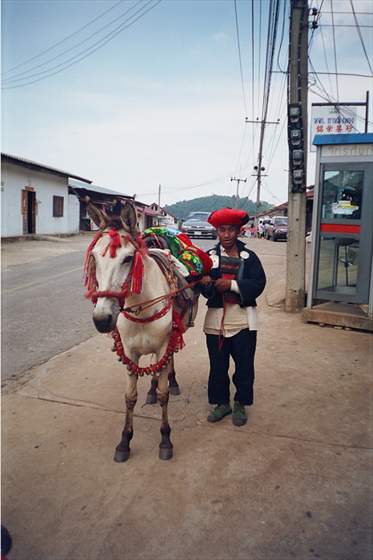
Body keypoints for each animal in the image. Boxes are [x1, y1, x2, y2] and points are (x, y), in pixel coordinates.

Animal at [83, 199, 196, 462]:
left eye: (127, 259)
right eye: (94, 257)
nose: (102, 319)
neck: (142, 308)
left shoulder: (164, 344)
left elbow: (165, 394)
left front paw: (165, 439)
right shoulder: (130, 353)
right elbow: (130, 397)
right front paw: (124, 441)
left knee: (169, 363)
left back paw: (172, 382)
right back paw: (152, 390)